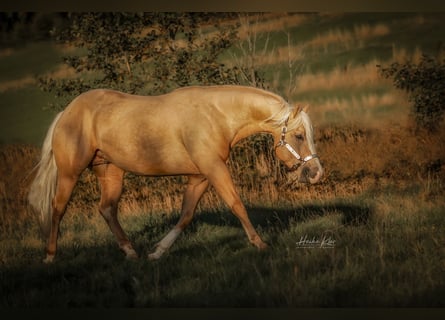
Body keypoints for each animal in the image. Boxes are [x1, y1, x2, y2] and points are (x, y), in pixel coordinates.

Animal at [27, 85, 322, 262]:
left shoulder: (200, 176)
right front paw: (260, 244)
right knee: (57, 208)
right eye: (298, 135)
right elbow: (236, 204)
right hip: (70, 173)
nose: (316, 173)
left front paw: (157, 252)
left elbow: (186, 215)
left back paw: (131, 252)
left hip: (111, 172)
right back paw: (50, 256)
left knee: (107, 209)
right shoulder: (214, 169)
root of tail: (67, 112)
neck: (215, 116)